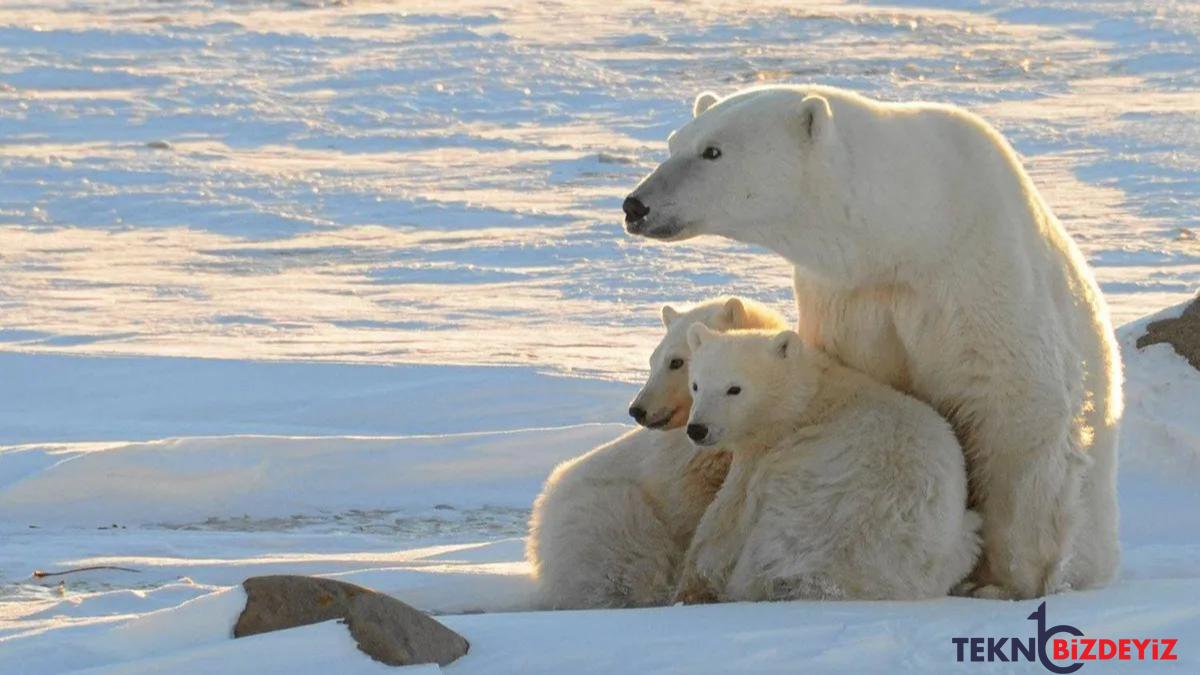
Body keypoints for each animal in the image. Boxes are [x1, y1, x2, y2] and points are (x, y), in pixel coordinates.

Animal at [672, 324, 979, 600]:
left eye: (734, 389)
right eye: (696, 385)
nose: (697, 429)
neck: (809, 395)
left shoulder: (770, 448)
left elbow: (727, 515)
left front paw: (693, 579)